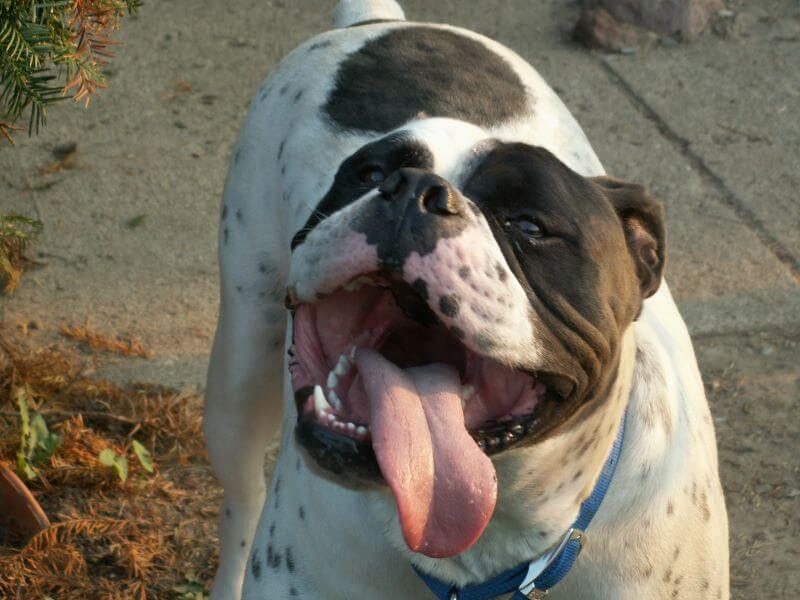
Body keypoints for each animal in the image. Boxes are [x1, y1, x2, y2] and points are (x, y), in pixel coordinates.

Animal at [203, 2, 728, 596]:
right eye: (370, 173)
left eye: (529, 224)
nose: (413, 189)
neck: (483, 550)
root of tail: (381, 21)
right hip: (239, 378)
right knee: (241, 501)